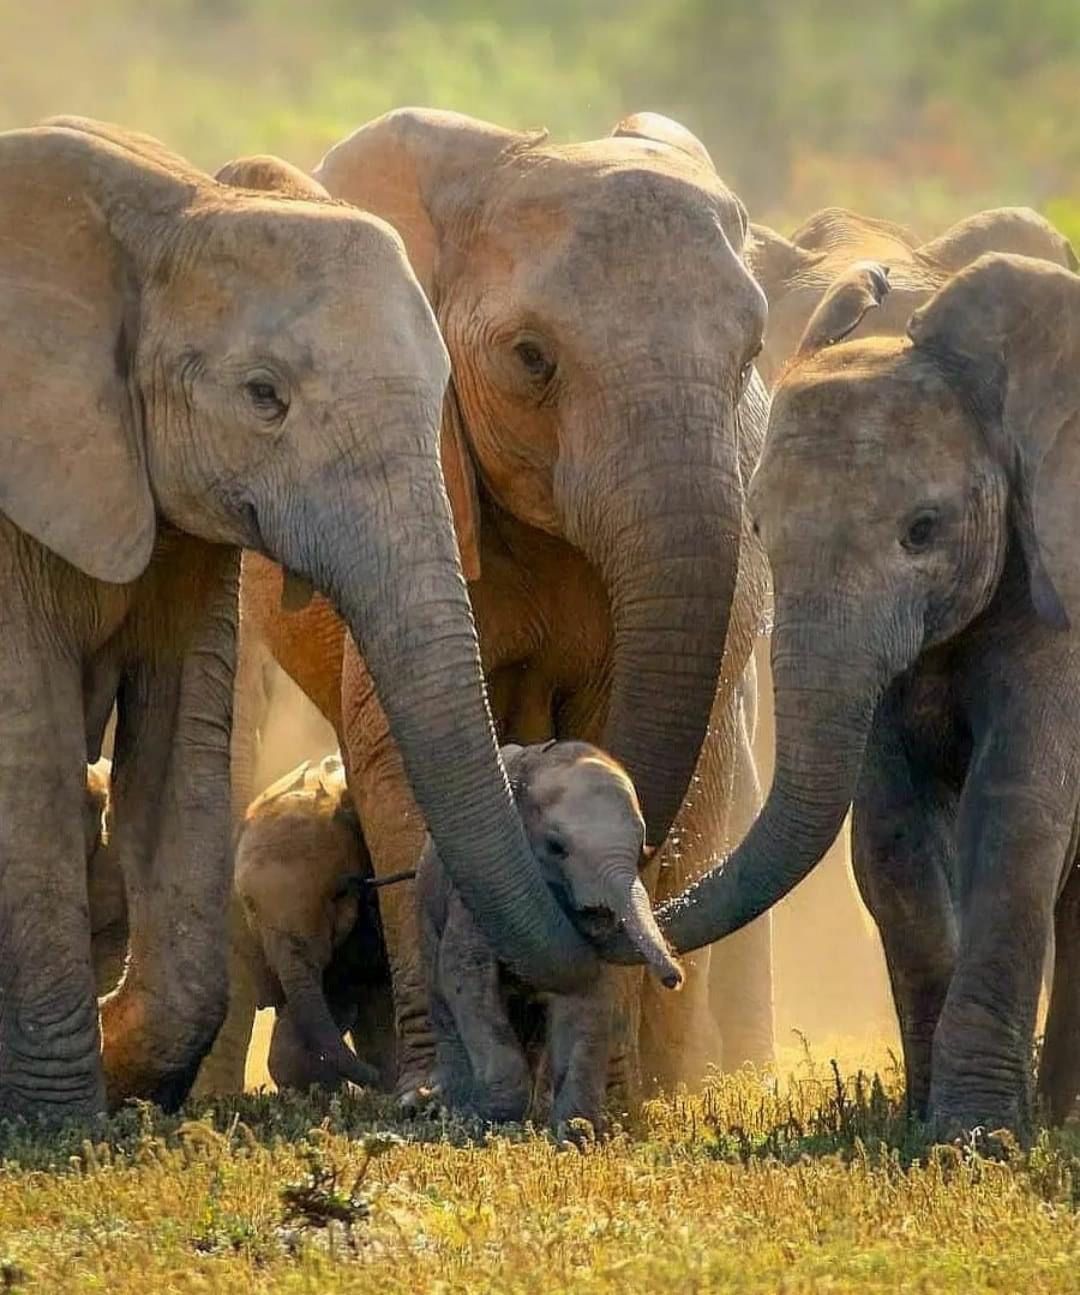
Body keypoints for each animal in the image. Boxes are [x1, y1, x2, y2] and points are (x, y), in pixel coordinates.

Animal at [418, 741, 682, 1134]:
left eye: (641, 849)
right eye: (556, 847)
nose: (674, 978)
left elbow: (590, 993)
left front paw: (576, 1133)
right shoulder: (474, 900)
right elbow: (465, 974)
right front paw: (487, 1120)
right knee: (442, 999)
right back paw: (457, 1106)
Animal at [619, 252, 1080, 1138]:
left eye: (925, 529)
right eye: (758, 530)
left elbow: (1016, 813)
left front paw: (974, 1136)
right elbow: (891, 835)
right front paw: (926, 1124)